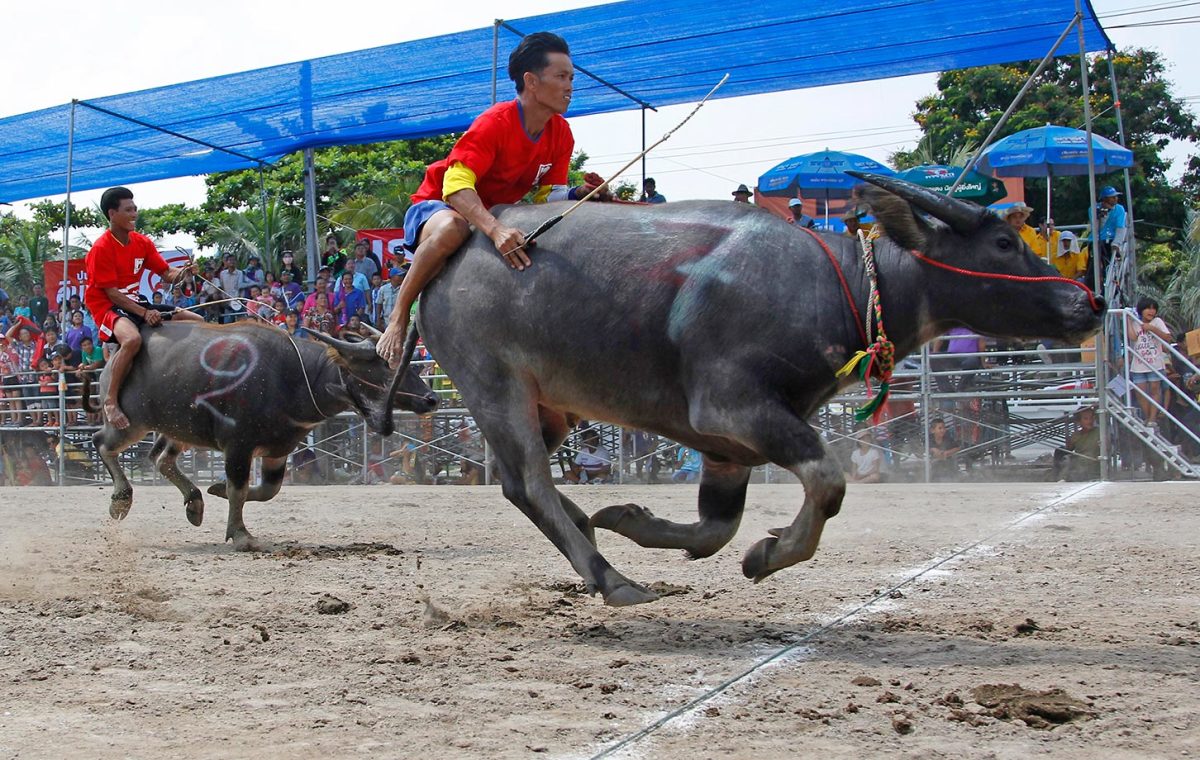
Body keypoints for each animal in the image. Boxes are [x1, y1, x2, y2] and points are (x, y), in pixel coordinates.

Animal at [84, 319, 441, 545]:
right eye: (385, 366)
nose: (431, 398)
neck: (296, 376)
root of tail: (111, 361)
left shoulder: (277, 450)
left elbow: (268, 490)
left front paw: (216, 489)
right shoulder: (238, 446)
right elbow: (240, 489)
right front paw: (240, 534)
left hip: (178, 431)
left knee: (159, 458)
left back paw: (195, 501)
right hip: (129, 423)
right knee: (103, 444)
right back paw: (121, 499)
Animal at [388, 170, 1099, 605]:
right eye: (1004, 242)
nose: (1086, 303)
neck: (832, 283)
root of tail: (434, 266)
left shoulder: (727, 446)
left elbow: (716, 528)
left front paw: (629, 517)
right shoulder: (734, 410)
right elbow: (827, 481)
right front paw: (769, 554)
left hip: (549, 404)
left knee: (530, 487)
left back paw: (592, 528)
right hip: (493, 384)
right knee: (529, 482)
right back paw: (611, 579)